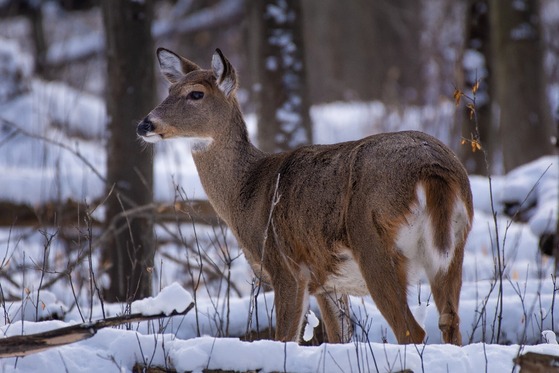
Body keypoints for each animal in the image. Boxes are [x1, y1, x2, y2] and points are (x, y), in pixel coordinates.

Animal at [136, 48, 472, 344]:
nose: (144, 123)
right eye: (170, 89)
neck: (247, 193)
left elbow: (285, 338)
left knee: (411, 330)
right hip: (454, 245)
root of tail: (432, 168)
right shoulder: (328, 282)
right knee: (451, 324)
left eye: (196, 94)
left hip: (374, 242)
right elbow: (339, 338)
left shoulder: (286, 267)